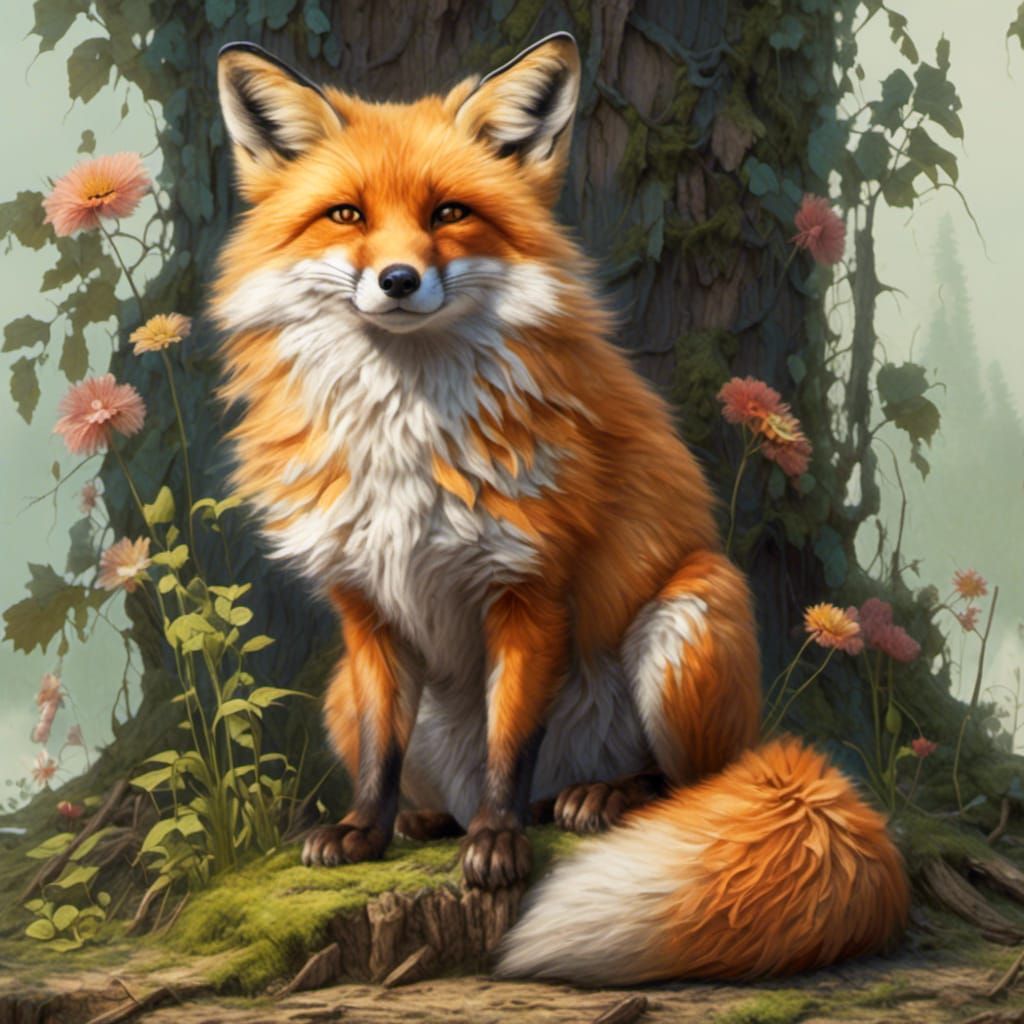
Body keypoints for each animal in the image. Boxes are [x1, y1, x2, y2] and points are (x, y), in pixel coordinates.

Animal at [211, 33, 909, 984]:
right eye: (346, 215)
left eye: (450, 212)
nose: (398, 280)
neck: (404, 435)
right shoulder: (366, 609)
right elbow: (382, 755)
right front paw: (364, 831)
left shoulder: (530, 587)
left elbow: (512, 744)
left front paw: (499, 847)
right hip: (338, 695)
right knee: (432, 776)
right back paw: (432, 821)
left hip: (693, 616)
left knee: (679, 786)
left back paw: (598, 798)